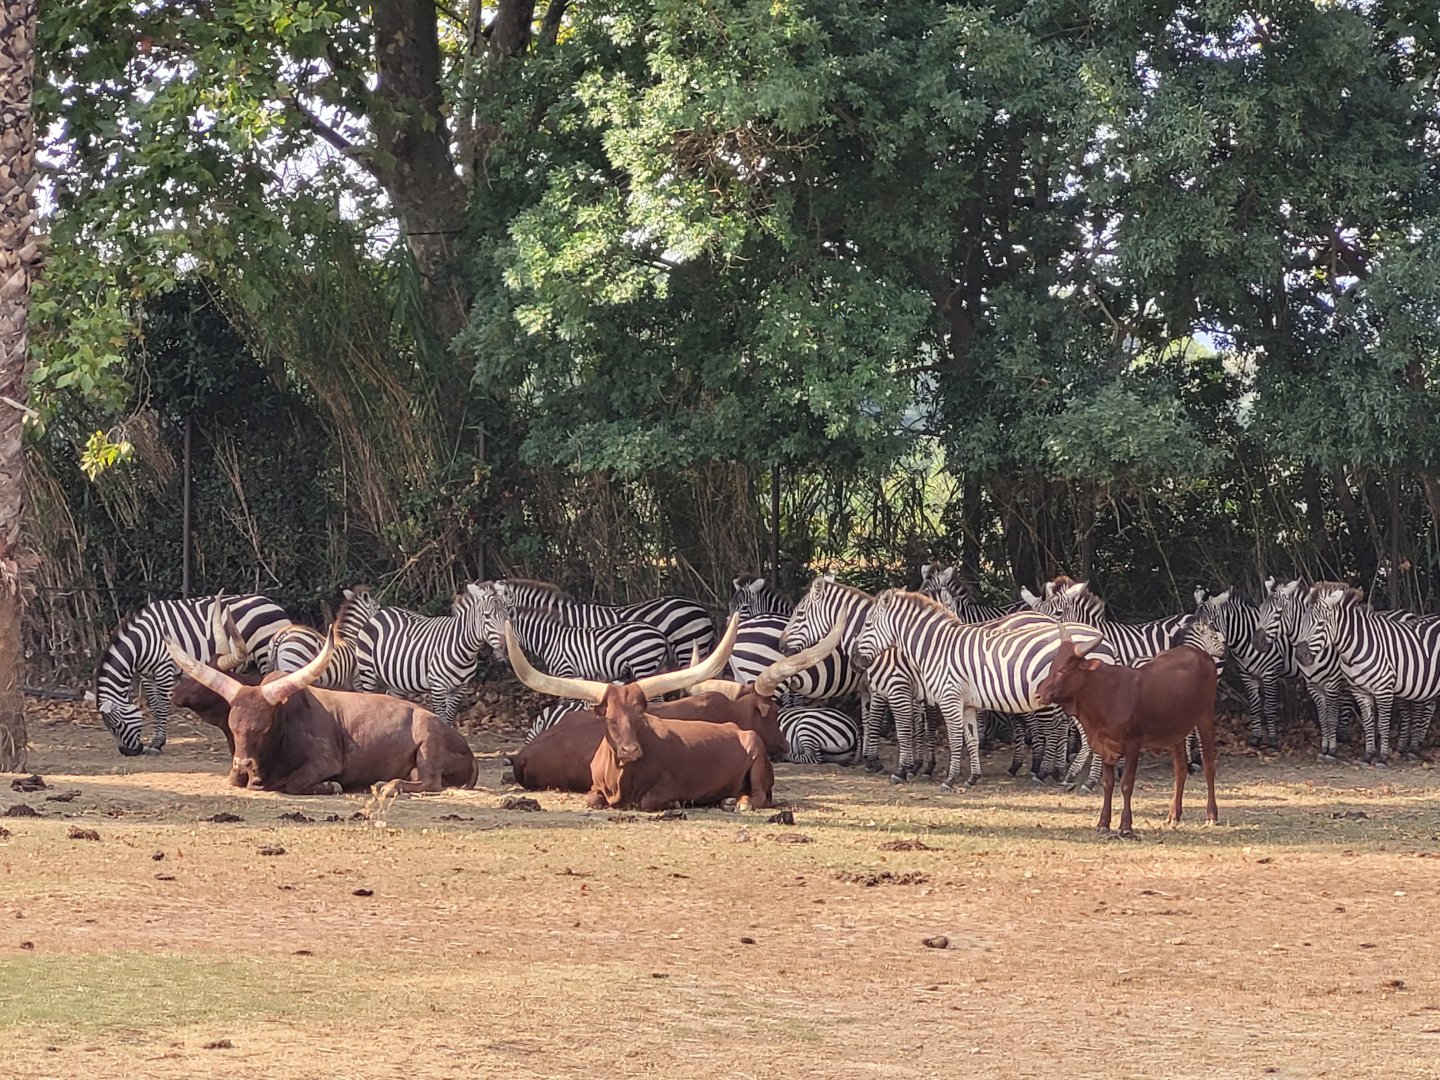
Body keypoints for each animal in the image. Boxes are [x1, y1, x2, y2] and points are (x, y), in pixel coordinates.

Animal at [94, 593, 291, 756]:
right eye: (110, 727)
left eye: (117, 725)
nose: (128, 752)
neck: (142, 643)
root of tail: (273, 604)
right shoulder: (147, 675)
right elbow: (153, 705)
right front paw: (155, 741)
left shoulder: (164, 668)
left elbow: (161, 706)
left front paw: (157, 743)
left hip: (264, 653)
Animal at [478, 582, 673, 685]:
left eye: (498, 620)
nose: (496, 655)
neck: (548, 638)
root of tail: (659, 633)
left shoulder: (567, 671)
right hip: (655, 666)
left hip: (644, 663)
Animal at [851, 589, 1108, 789]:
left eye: (867, 624)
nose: (855, 660)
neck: (936, 647)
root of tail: (1100, 638)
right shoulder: (966, 703)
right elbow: (971, 738)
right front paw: (972, 778)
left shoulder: (941, 696)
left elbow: (951, 738)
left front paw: (945, 778)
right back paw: (1072, 776)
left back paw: (1085, 781)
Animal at [1299, 586, 1440, 764]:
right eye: (1302, 622)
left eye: (1320, 624)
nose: (1299, 656)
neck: (1356, 649)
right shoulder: (1360, 691)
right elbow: (1368, 723)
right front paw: (1368, 755)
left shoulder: (1383, 689)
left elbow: (1383, 724)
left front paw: (1383, 757)